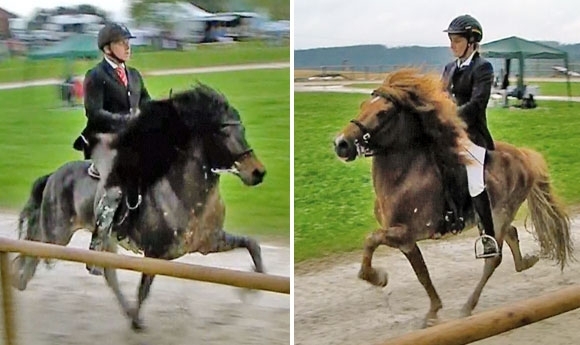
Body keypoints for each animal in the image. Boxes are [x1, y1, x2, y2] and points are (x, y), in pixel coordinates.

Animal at [334, 69, 572, 326]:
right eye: (363, 105)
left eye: (383, 113)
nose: (341, 144)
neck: (405, 177)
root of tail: (524, 156)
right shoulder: (406, 240)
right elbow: (422, 274)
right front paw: (432, 312)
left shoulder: (407, 231)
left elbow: (372, 239)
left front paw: (378, 277)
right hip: (493, 216)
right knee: (511, 235)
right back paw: (526, 262)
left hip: (502, 212)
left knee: (493, 259)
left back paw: (467, 307)